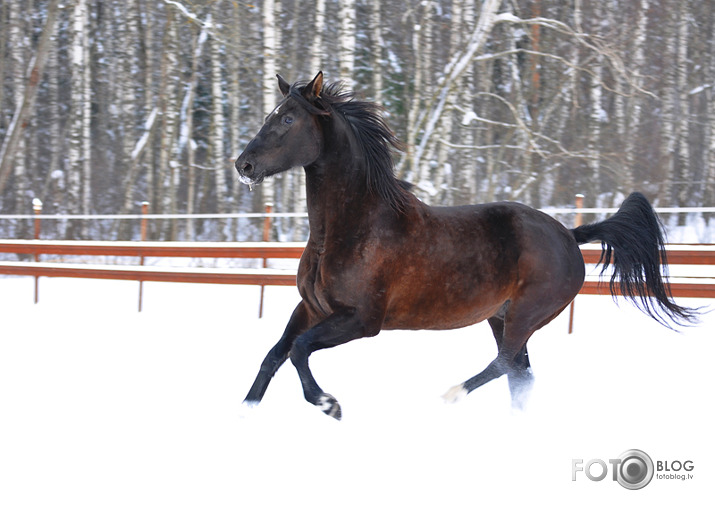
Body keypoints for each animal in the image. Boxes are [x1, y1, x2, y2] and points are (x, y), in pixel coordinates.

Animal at [235, 72, 700, 420]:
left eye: (288, 120)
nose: (244, 165)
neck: (350, 229)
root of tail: (568, 235)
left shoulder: (361, 320)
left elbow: (298, 350)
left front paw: (330, 404)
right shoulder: (311, 308)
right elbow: (274, 355)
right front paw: (246, 412)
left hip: (526, 315)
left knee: (507, 364)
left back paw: (451, 394)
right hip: (501, 316)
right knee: (520, 373)